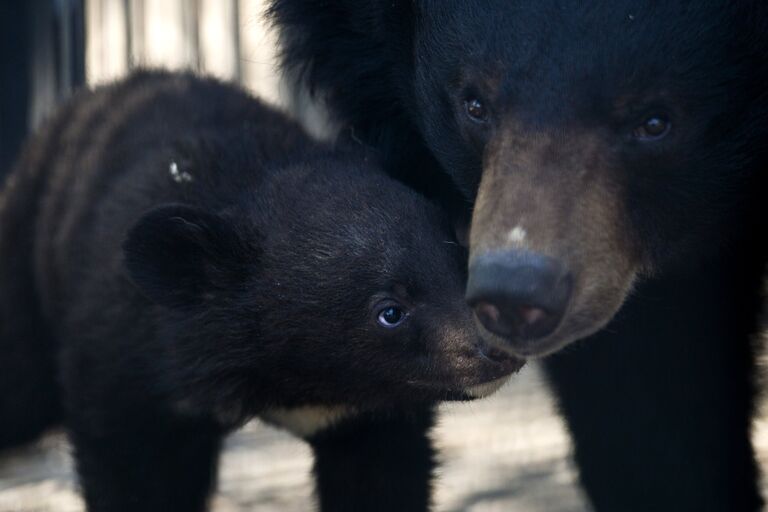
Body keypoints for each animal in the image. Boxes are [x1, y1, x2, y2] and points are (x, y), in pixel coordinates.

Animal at [0, 72, 520, 512]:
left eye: (458, 260)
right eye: (390, 311)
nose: (500, 348)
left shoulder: (368, 418)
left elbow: (383, 477)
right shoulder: (123, 356)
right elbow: (132, 470)